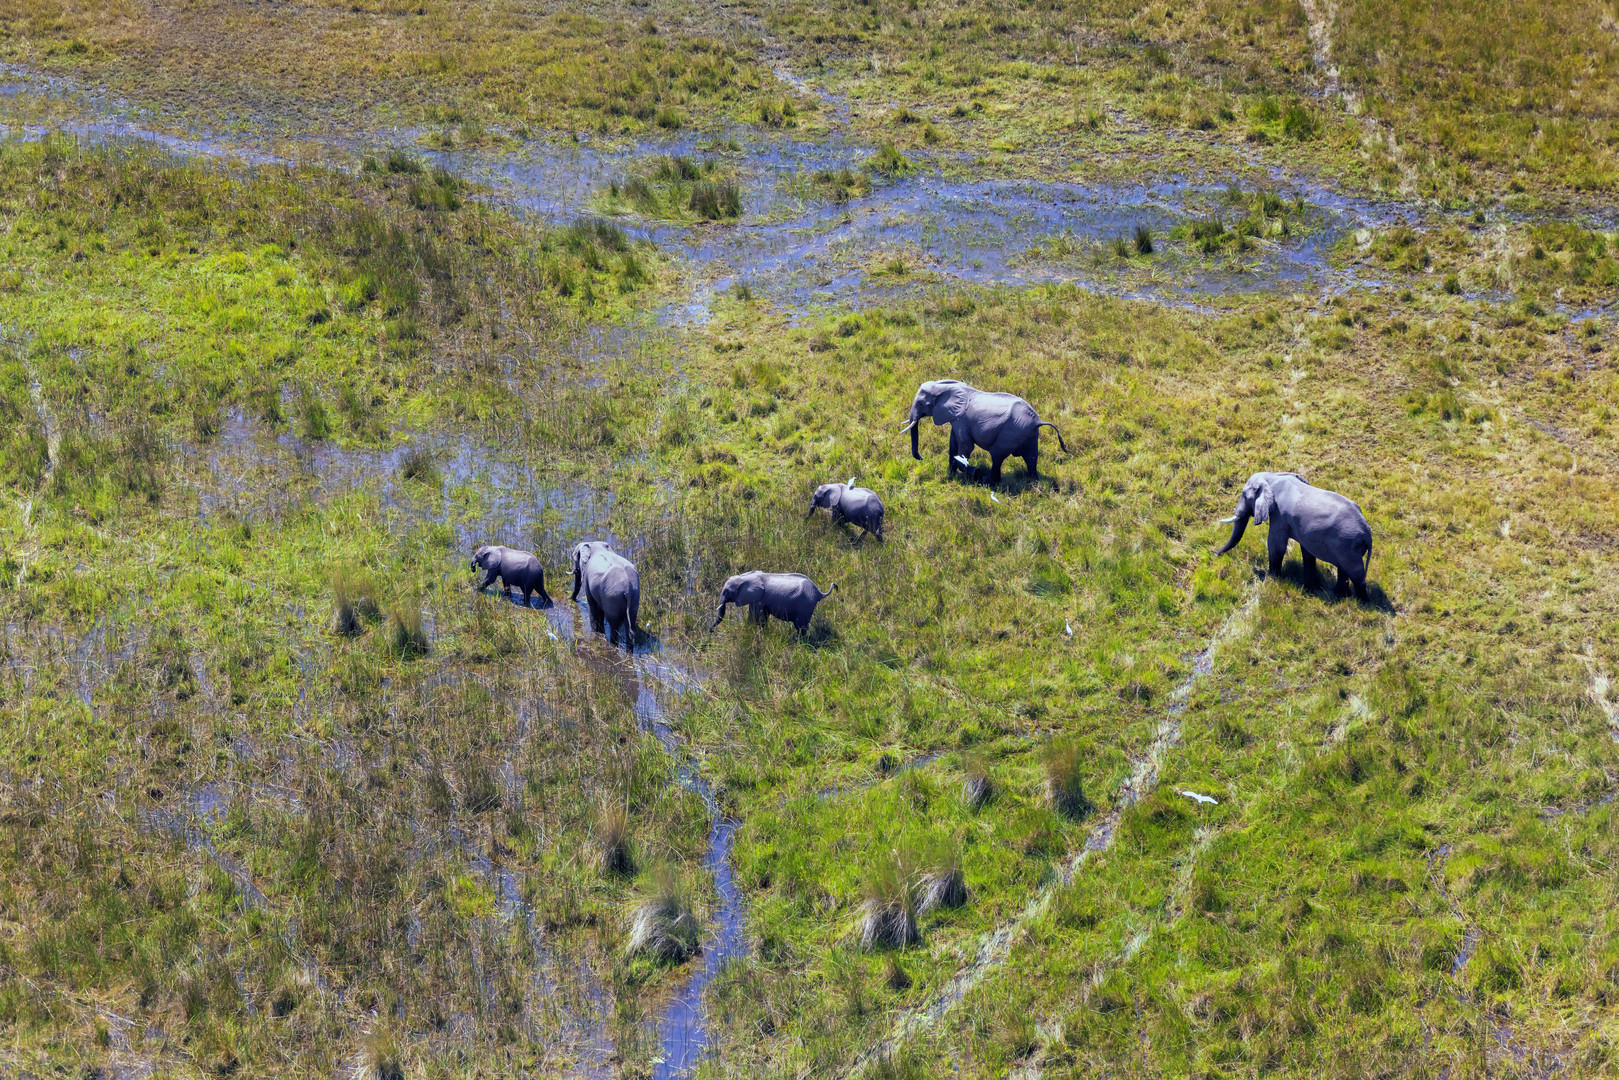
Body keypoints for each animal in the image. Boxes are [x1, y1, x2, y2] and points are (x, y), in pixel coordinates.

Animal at [906, 378, 1068, 482]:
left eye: (922, 403)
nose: (921, 457)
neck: (945, 387)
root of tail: (1038, 421)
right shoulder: (956, 419)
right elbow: (953, 445)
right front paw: (950, 476)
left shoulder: (961, 419)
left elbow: (965, 446)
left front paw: (975, 473)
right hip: (1029, 435)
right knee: (1031, 457)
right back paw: (1033, 482)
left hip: (1011, 433)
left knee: (997, 455)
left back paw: (986, 480)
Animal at [1211, 472, 1372, 605]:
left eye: (1244, 495)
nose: (1214, 553)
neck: (1271, 476)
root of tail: (1367, 533)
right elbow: (1307, 552)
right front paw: (1309, 588)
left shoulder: (1280, 515)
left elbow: (1276, 544)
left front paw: (1273, 579)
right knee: (1343, 568)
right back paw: (1340, 595)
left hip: (1348, 545)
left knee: (1355, 573)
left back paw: (1362, 604)